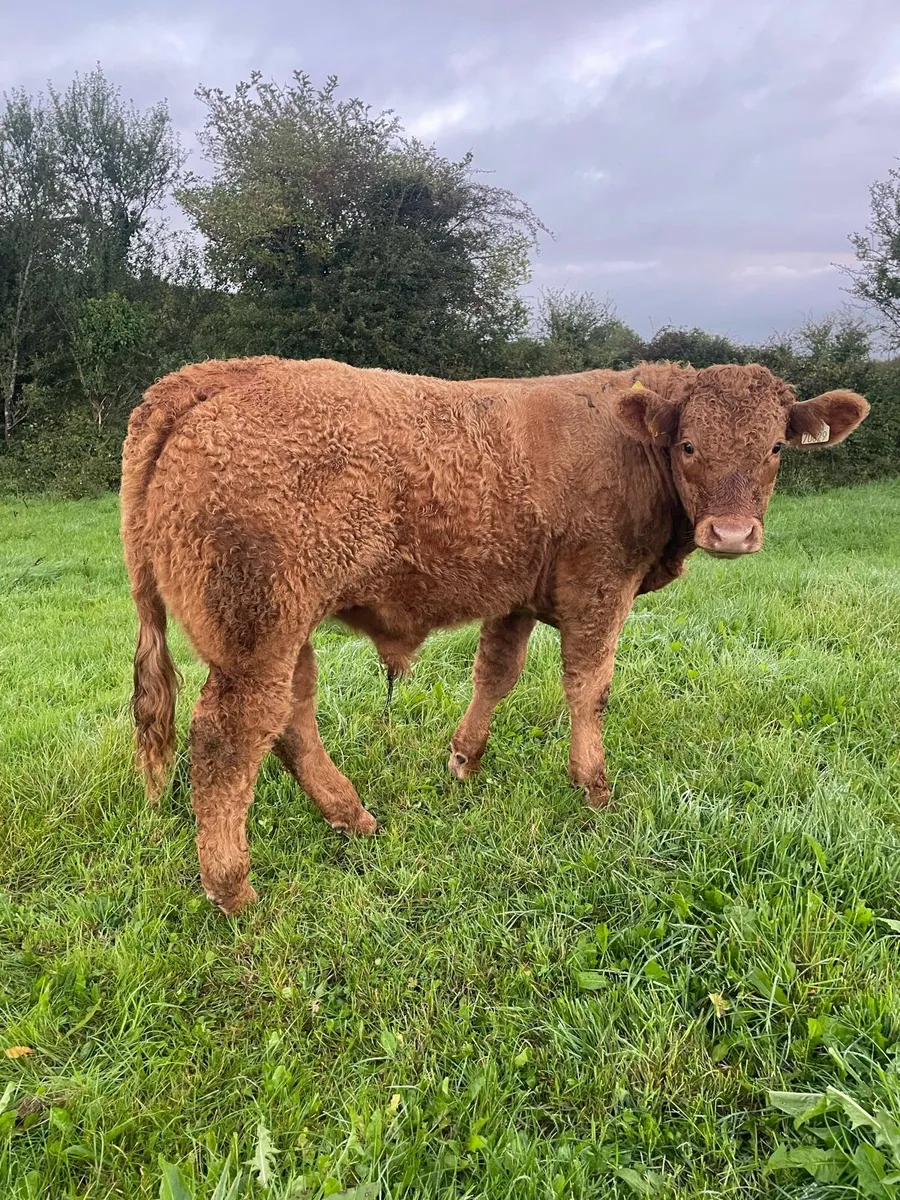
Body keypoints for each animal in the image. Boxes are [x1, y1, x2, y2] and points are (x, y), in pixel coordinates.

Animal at [120, 356, 869, 913]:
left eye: (774, 447)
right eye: (688, 445)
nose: (733, 534)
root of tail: (216, 375)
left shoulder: (516, 592)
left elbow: (497, 673)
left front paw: (464, 760)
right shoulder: (599, 585)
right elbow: (589, 686)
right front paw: (593, 787)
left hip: (282, 628)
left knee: (291, 717)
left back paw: (351, 815)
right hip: (256, 628)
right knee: (229, 737)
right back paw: (233, 888)